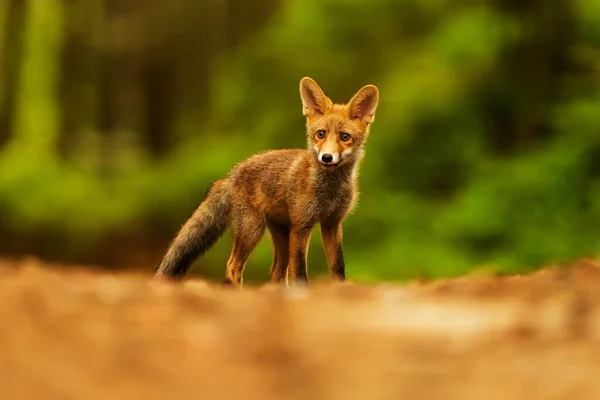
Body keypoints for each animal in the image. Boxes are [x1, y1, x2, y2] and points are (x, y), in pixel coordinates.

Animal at [155, 76, 380, 288]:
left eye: (345, 137)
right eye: (321, 134)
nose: (326, 157)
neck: (330, 191)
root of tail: (231, 175)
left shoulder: (332, 223)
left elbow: (337, 265)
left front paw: (342, 288)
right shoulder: (302, 225)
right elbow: (300, 271)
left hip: (281, 235)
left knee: (276, 272)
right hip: (253, 230)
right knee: (233, 266)